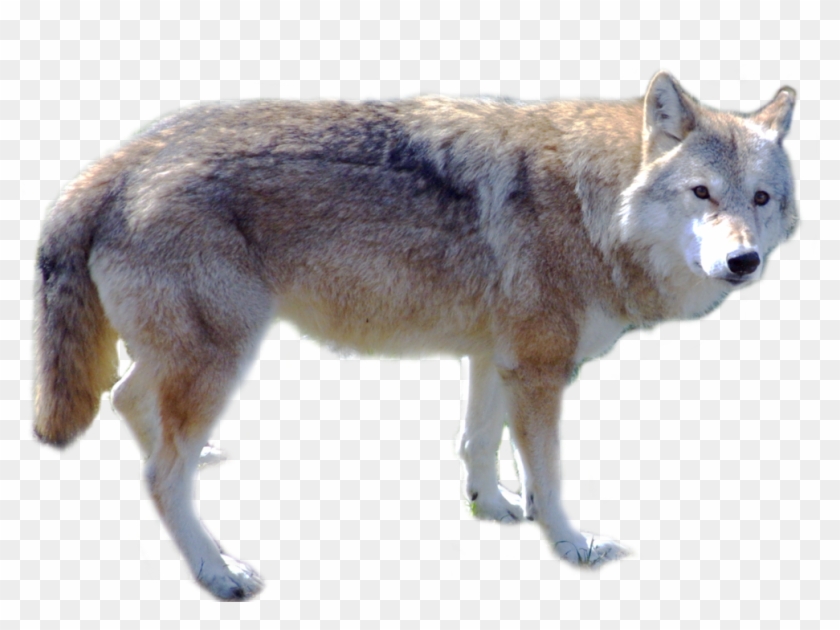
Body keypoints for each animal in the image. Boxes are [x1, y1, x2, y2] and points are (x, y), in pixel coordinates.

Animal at [33, 71, 797, 600]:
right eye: (701, 193)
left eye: (761, 199)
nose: (744, 262)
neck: (594, 207)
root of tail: (113, 166)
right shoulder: (540, 370)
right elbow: (548, 476)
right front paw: (571, 545)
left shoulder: (497, 357)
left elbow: (480, 443)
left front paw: (492, 508)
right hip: (224, 354)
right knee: (161, 474)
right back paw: (219, 572)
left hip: (188, 359)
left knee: (131, 403)